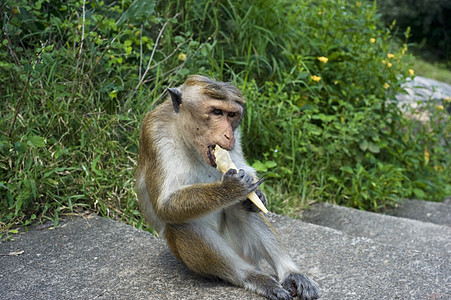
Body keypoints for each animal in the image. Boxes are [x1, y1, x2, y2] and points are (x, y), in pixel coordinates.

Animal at [135, 75, 322, 300]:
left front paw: (259, 195)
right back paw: (252, 277)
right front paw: (230, 189)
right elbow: (164, 204)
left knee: (243, 207)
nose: (227, 135)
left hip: (244, 247)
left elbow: (242, 167)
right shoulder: (155, 132)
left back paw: (291, 273)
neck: (186, 137)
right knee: (182, 224)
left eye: (231, 115)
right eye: (216, 112)